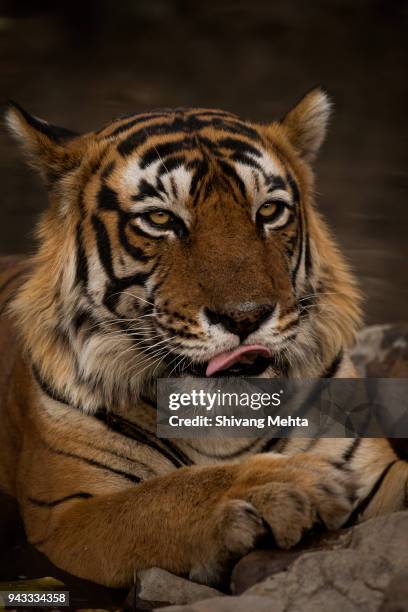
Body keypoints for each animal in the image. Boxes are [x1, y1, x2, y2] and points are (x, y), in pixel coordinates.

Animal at [0, 88, 406, 592]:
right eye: (160, 219)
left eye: (269, 211)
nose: (245, 316)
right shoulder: (67, 513)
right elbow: (158, 499)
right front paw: (284, 485)